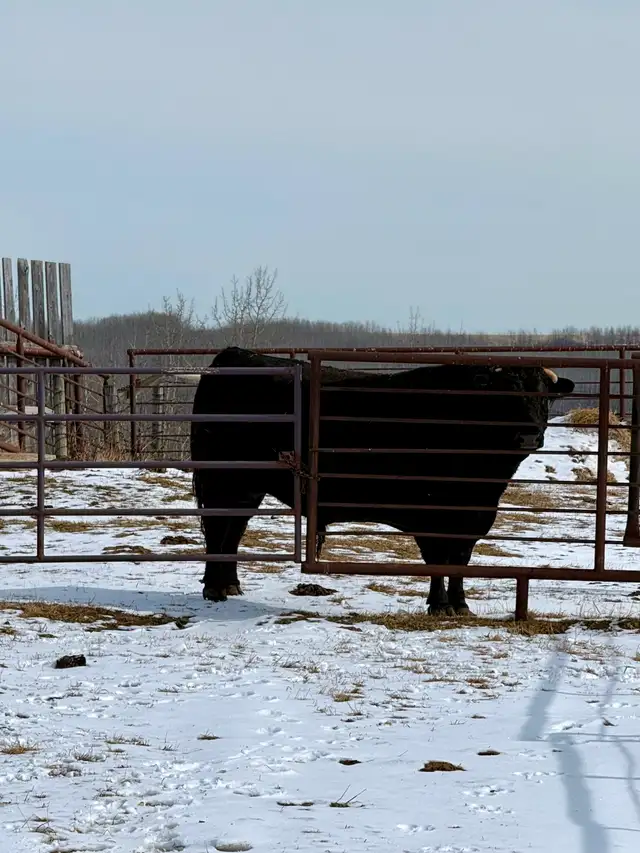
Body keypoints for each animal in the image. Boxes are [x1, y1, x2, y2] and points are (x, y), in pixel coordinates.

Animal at [190, 347, 575, 614]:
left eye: (545, 396)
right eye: (507, 396)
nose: (529, 435)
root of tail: (235, 355)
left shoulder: (473, 517)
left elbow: (460, 559)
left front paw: (461, 604)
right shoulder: (429, 511)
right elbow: (438, 558)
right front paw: (440, 604)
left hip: (247, 486)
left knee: (233, 529)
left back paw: (230, 585)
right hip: (222, 478)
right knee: (217, 529)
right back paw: (214, 589)